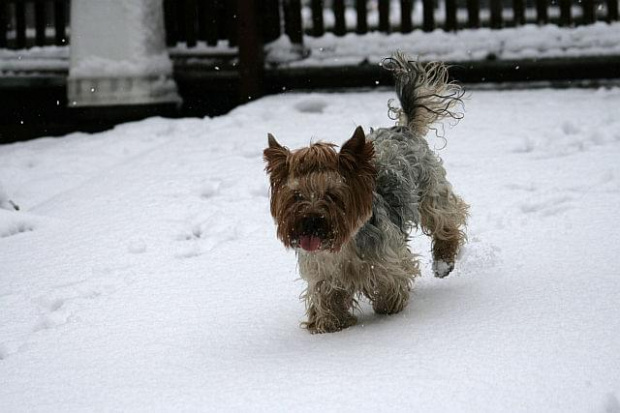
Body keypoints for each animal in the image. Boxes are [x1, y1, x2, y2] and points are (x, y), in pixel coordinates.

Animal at [262, 54, 470, 332]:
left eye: (332, 195)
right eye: (296, 197)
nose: (311, 221)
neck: (342, 244)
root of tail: (402, 129)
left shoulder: (387, 258)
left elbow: (391, 281)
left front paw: (388, 307)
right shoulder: (323, 271)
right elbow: (327, 297)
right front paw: (330, 323)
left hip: (430, 189)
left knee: (447, 218)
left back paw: (443, 262)